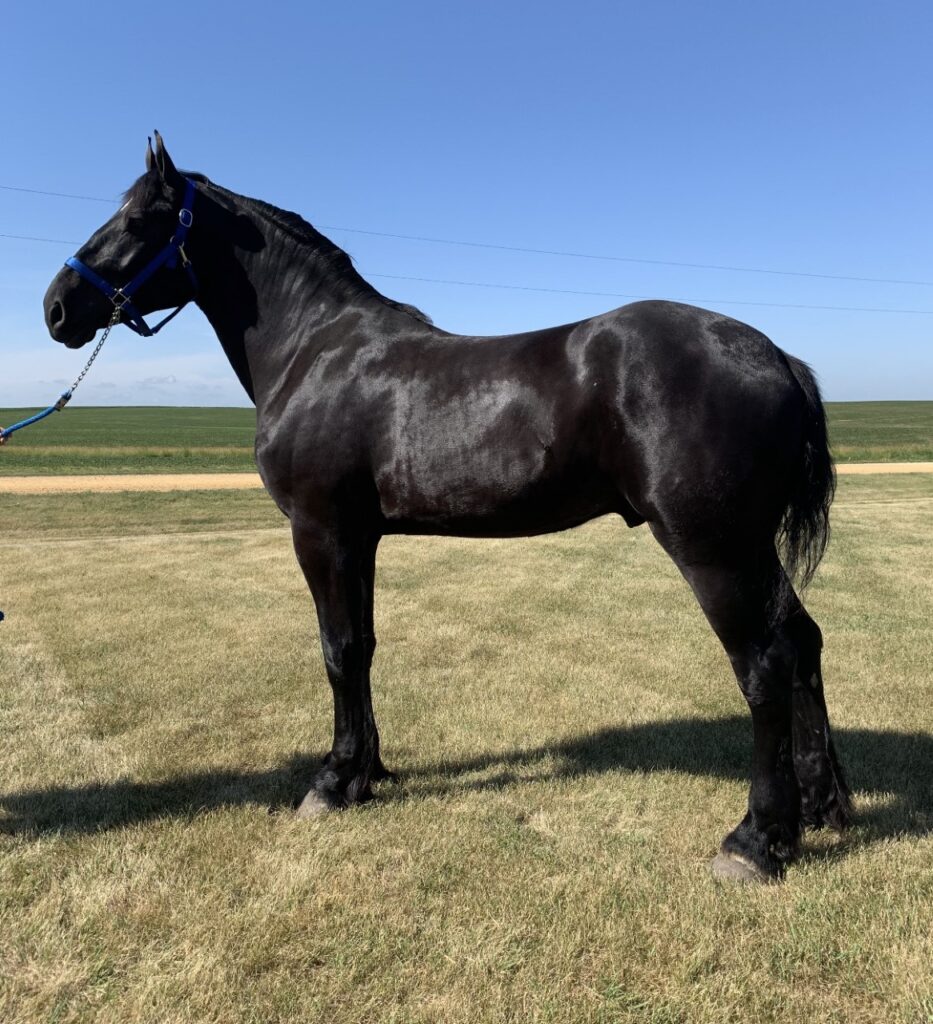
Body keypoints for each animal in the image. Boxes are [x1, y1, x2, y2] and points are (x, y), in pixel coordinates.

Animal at [42, 133, 850, 883]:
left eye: (139, 218)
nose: (55, 308)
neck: (316, 349)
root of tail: (776, 358)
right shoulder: (359, 537)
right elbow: (363, 646)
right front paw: (366, 774)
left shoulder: (320, 531)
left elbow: (336, 650)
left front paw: (330, 784)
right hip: (748, 545)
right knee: (802, 642)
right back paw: (818, 807)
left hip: (711, 546)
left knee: (763, 664)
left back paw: (754, 841)